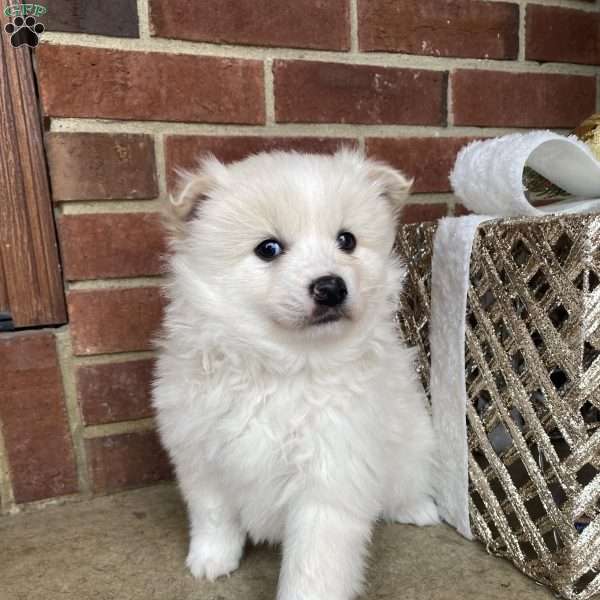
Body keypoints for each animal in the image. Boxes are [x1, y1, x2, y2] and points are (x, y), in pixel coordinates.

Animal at [152, 149, 438, 600]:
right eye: (268, 249)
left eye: (347, 241)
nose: (331, 287)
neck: (285, 364)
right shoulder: (202, 457)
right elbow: (214, 517)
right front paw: (211, 560)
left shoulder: (329, 478)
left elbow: (313, 565)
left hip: (414, 445)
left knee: (409, 483)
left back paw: (419, 509)